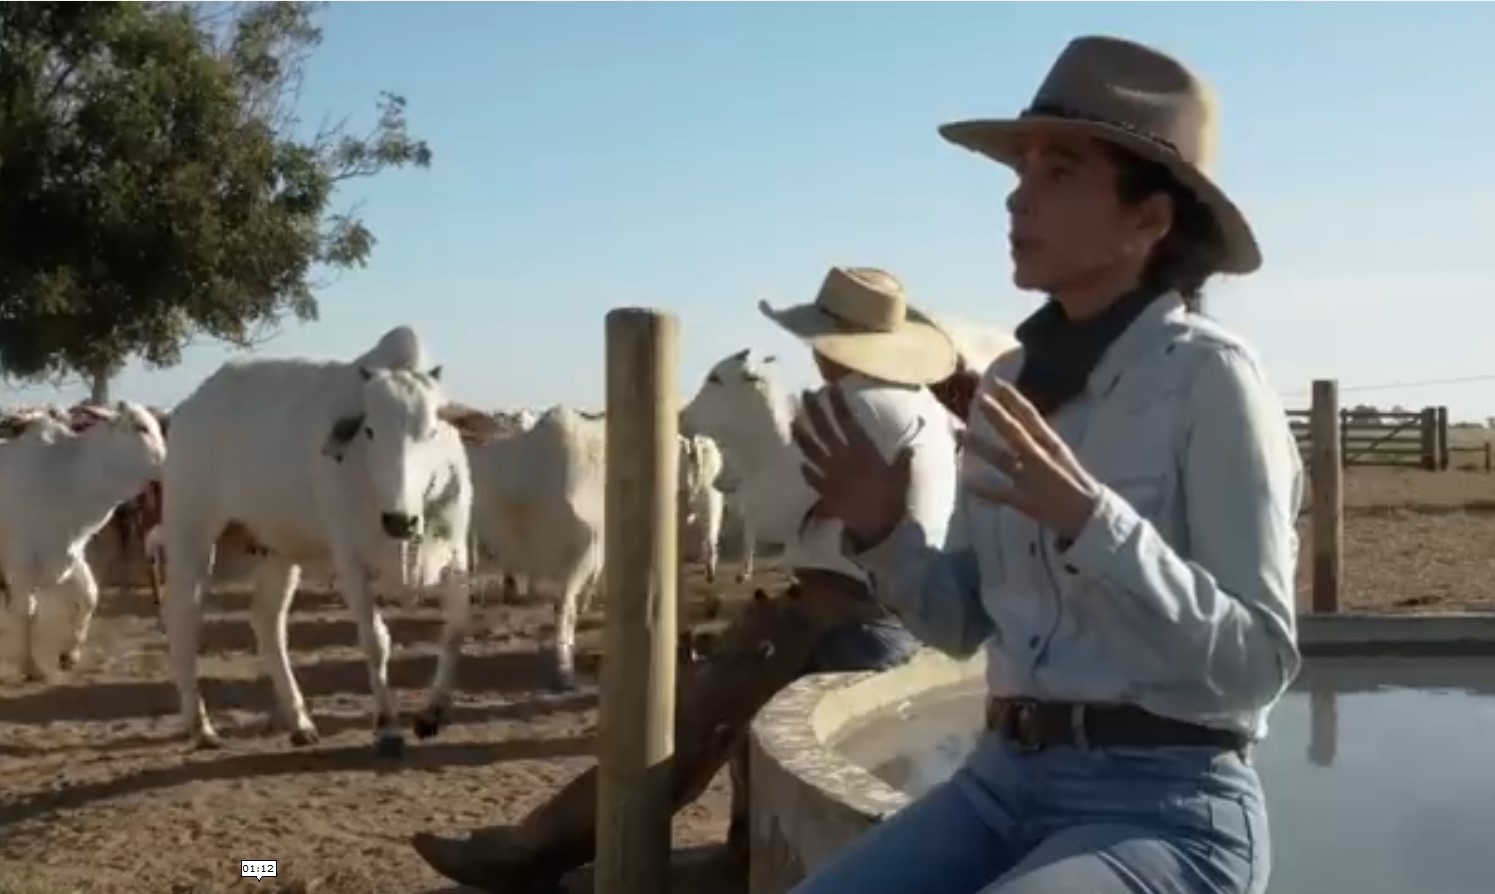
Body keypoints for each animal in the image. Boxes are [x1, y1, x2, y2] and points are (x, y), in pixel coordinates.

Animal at [0, 403, 165, 684]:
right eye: (141, 427)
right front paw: (30, 666)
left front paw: (70, 654)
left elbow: (90, 596)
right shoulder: (22, 564)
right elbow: (26, 612)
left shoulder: (71, 554)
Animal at [160, 325, 472, 759]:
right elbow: (375, 640)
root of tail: (191, 406)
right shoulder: (349, 558)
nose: (398, 520)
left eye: (431, 431)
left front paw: (432, 713)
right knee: (184, 619)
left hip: (278, 549)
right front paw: (388, 727)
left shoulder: (456, 554)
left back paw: (299, 721)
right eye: (370, 431)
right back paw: (200, 726)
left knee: (267, 620)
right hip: (191, 531)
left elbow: (456, 628)